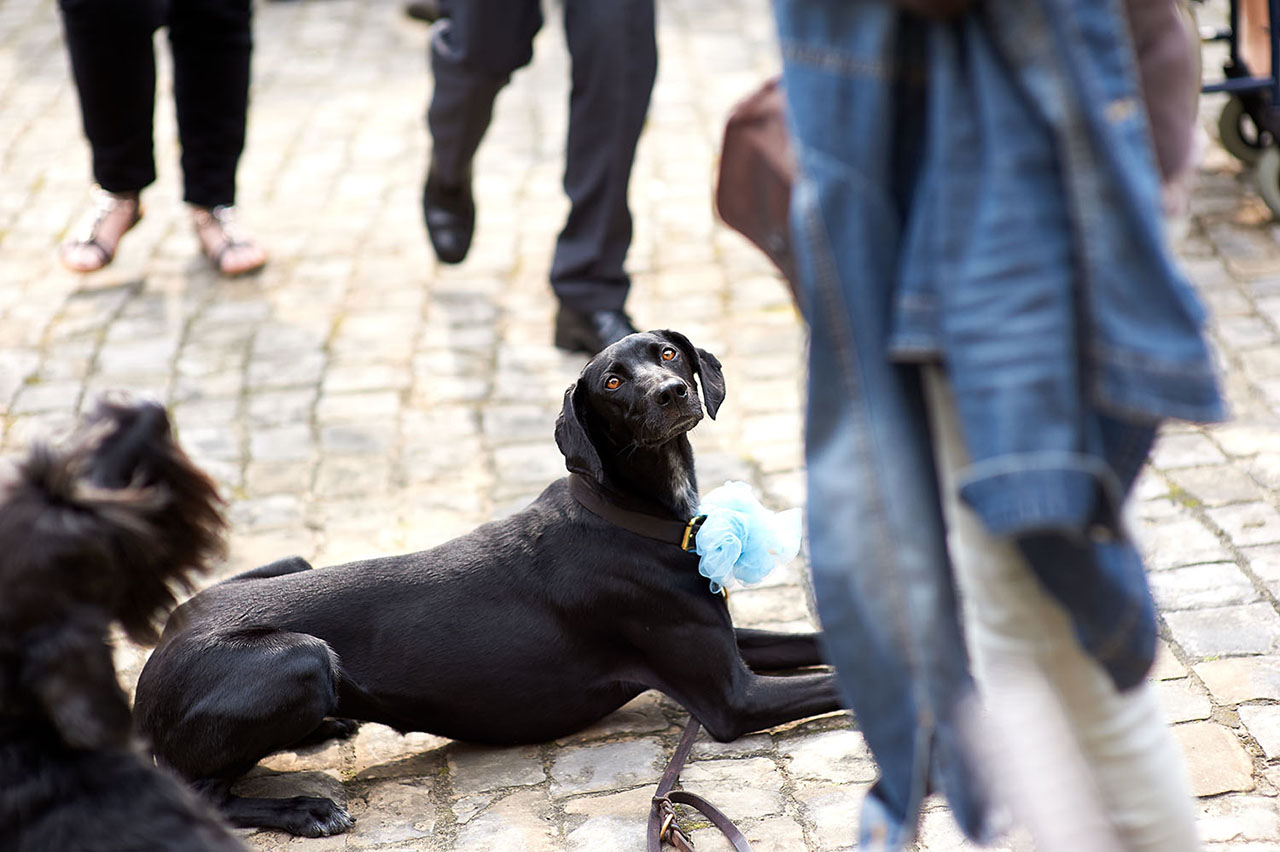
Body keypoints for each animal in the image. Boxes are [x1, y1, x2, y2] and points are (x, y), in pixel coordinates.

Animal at [137, 327, 839, 834]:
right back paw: (305, 809)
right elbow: (839, 684)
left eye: (666, 353)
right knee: (201, 792)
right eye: (613, 382)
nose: (671, 392)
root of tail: (162, 647)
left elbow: (821, 644)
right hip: (300, 659)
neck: (630, 515)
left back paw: (330, 728)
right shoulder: (731, 699)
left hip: (291, 571)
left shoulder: (730, 644)